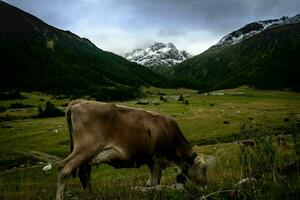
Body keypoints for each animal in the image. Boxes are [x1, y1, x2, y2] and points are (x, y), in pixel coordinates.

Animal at [55, 101, 206, 199]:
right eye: (204, 168)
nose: (206, 186)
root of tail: (77, 103)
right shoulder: (158, 159)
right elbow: (155, 181)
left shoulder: (150, 160)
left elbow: (150, 182)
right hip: (85, 148)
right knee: (64, 168)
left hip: (88, 154)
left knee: (84, 174)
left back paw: (90, 196)